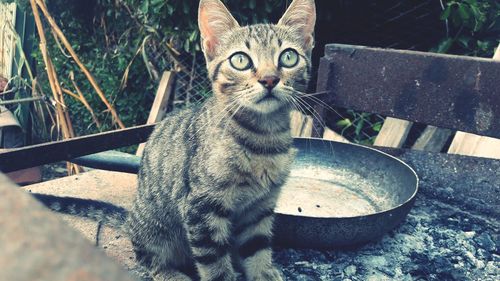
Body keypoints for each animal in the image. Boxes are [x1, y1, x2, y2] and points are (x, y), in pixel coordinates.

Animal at [128, 0, 316, 278]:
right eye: (240, 60)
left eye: (288, 56)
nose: (270, 79)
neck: (263, 138)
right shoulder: (202, 208)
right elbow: (214, 262)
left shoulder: (260, 208)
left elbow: (257, 249)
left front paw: (263, 272)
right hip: (154, 228)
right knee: (150, 260)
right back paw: (172, 274)